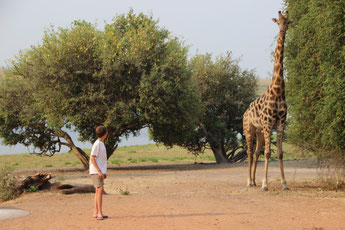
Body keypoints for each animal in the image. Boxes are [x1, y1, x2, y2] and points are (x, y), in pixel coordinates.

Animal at [241, 10, 292, 190]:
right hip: (249, 129)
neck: (278, 90)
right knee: (249, 152)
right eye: (278, 22)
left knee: (256, 152)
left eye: (288, 22)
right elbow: (269, 153)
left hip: (260, 131)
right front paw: (265, 184)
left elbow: (280, 153)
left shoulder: (280, 124)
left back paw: (254, 180)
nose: (282, 31)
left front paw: (284, 183)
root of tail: (245, 112)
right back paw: (249, 181)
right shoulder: (269, 123)